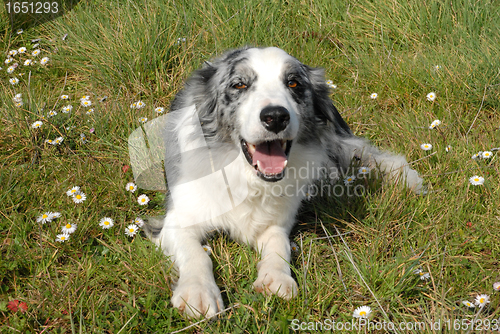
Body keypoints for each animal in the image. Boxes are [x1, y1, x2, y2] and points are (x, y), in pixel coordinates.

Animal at [140, 45, 422, 318]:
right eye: (239, 84)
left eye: (293, 83)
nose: (275, 116)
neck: (248, 179)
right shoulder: (176, 222)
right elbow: (197, 254)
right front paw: (198, 292)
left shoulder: (277, 221)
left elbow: (279, 244)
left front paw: (275, 278)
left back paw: (406, 179)